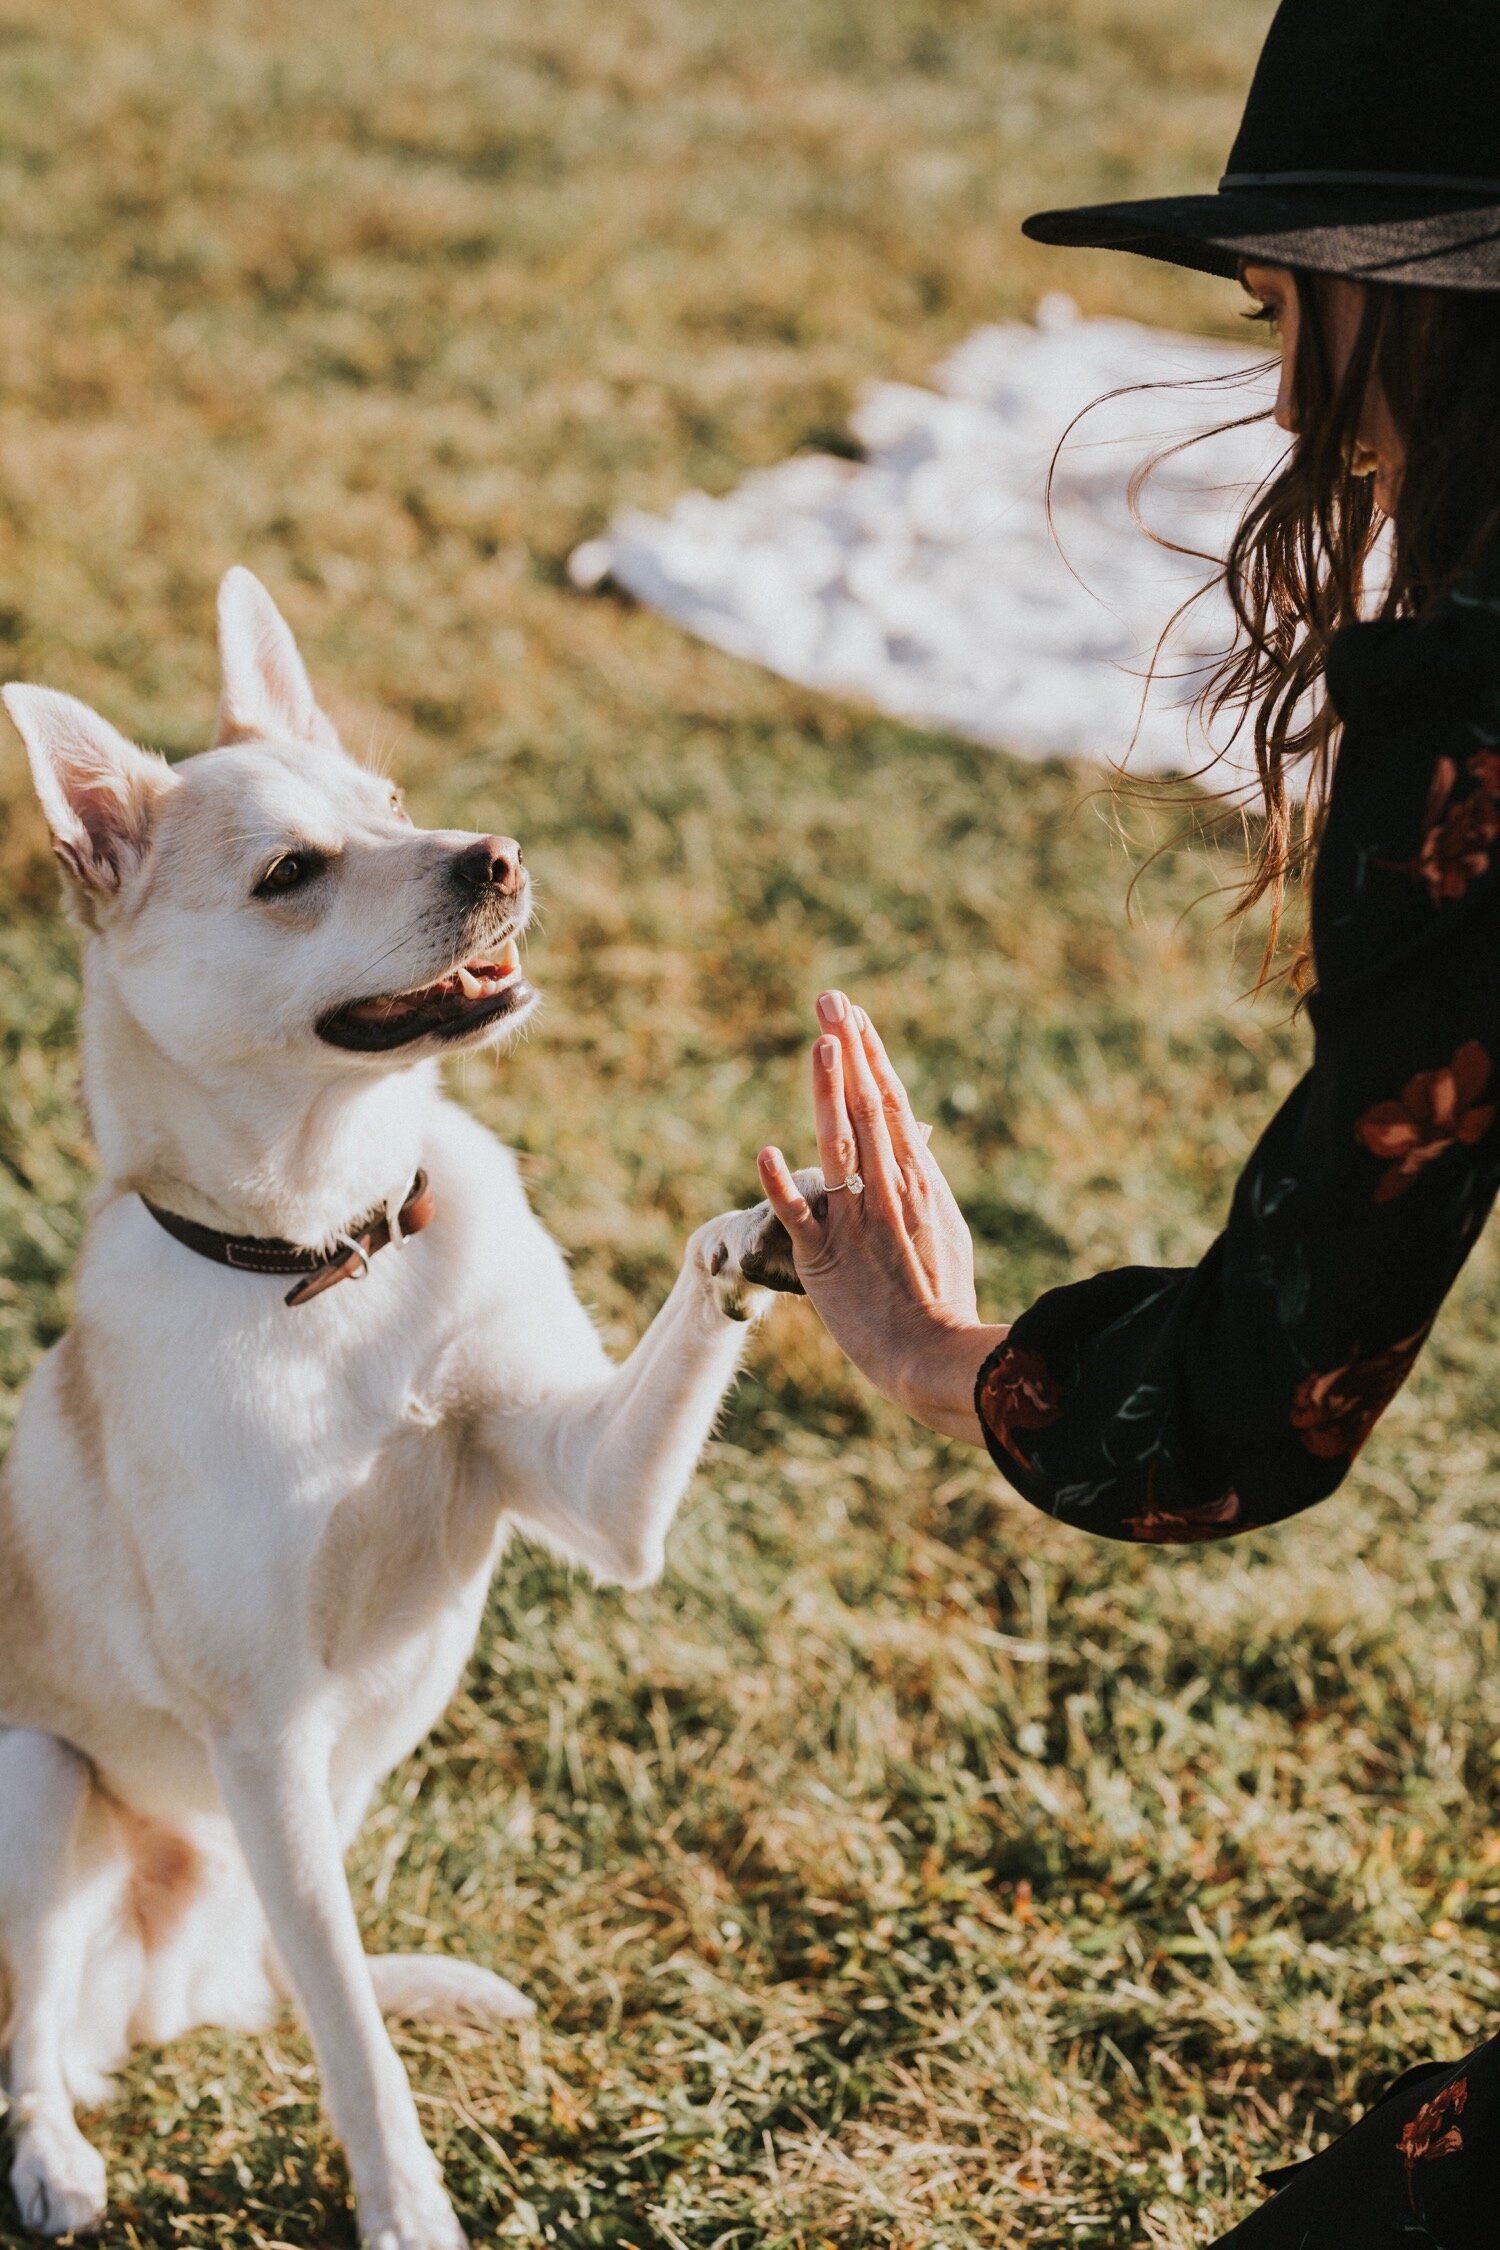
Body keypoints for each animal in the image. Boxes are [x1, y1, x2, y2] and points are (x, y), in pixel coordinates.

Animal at [0, 571, 805, 2241]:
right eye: (291, 873)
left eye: (391, 801)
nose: (496, 855)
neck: (331, 1254)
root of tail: (158, 1999)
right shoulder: (265, 1741)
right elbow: (354, 2056)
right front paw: (406, 2207)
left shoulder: (597, 1493)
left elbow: (691, 1316)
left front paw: (787, 1215)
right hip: (32, 1782)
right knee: (46, 2034)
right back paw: (52, 2153)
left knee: (273, 1982)